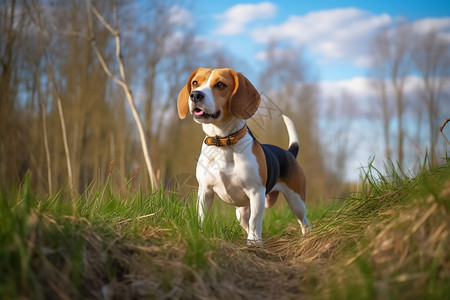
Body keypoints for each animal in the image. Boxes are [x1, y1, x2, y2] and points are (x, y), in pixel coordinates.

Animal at [178, 68, 312, 246]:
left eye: (220, 85)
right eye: (195, 82)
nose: (195, 95)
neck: (223, 142)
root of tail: (289, 152)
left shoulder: (256, 192)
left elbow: (255, 221)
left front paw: (254, 243)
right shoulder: (205, 191)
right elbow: (202, 217)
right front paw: (200, 234)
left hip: (296, 201)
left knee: (304, 222)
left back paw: (306, 239)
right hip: (241, 212)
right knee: (247, 223)